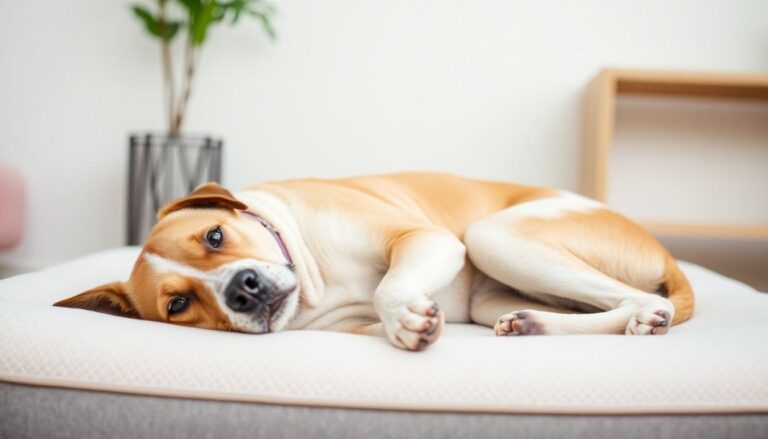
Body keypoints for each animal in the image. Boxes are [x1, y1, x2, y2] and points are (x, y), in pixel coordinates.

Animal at [57, 172, 696, 350]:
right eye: (178, 304)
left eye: (215, 236)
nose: (243, 288)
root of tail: (665, 250)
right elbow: (383, 311)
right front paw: (404, 322)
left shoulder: (424, 239)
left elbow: (392, 287)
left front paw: (409, 317)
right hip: (493, 290)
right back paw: (532, 324)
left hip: (493, 237)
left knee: (645, 298)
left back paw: (646, 316)